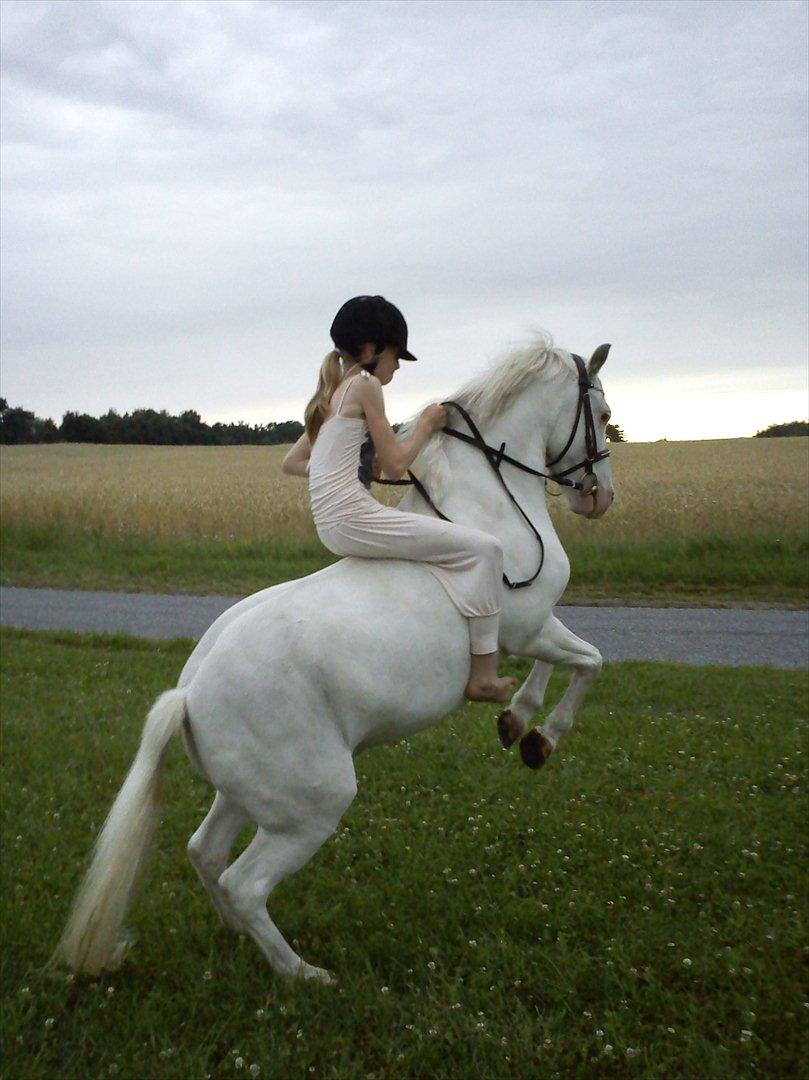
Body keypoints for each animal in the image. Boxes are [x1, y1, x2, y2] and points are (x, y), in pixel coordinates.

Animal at [54, 334, 615, 984]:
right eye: (602, 413)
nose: (600, 498)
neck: (490, 505)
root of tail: (187, 696)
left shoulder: (534, 627)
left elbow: (574, 659)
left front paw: (517, 723)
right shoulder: (527, 627)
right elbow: (590, 661)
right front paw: (537, 735)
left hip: (248, 796)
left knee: (205, 852)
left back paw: (239, 937)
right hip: (312, 805)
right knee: (244, 882)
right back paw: (305, 974)